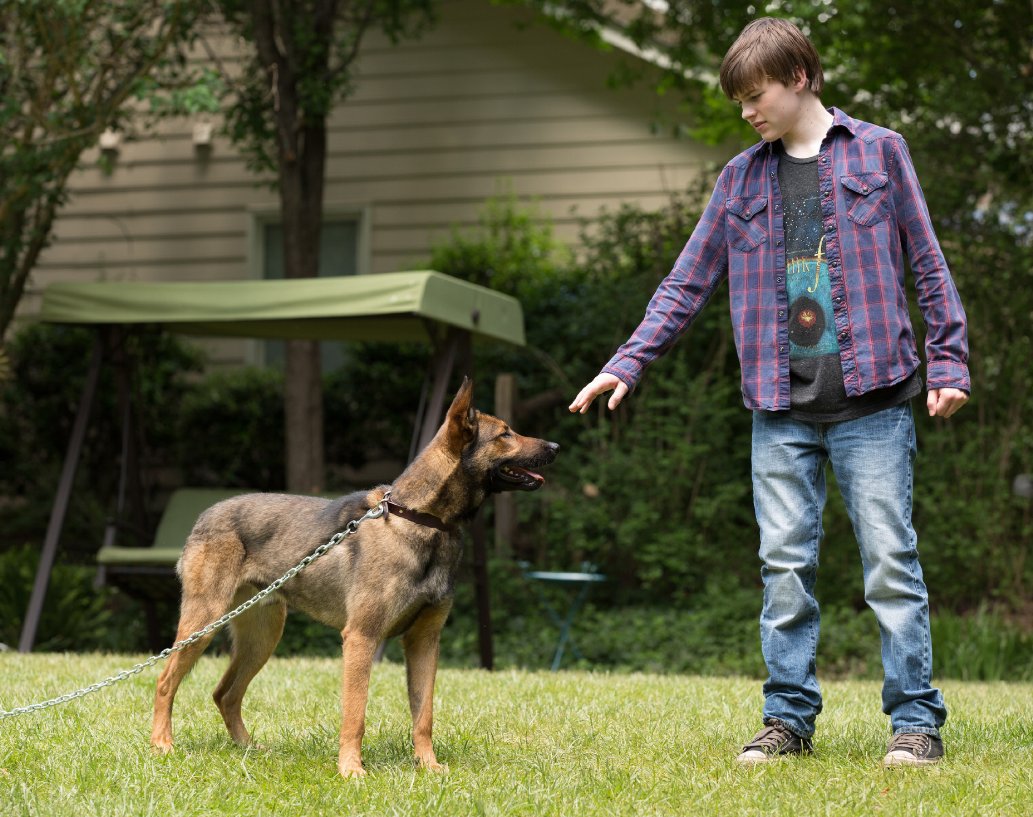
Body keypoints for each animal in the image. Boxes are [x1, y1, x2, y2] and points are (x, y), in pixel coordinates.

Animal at [147, 380, 557, 776]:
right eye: (505, 434)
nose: (554, 446)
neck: (419, 518)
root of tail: (206, 514)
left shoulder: (424, 642)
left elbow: (423, 716)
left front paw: (429, 766)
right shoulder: (361, 638)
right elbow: (355, 715)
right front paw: (351, 770)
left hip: (262, 637)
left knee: (225, 693)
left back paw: (247, 749)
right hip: (204, 624)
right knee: (166, 682)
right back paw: (162, 745)